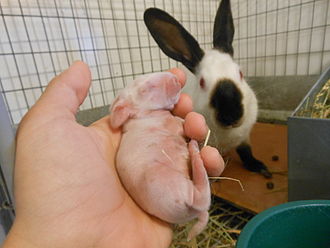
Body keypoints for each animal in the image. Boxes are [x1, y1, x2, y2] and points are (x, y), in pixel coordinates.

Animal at [109, 72, 210, 240]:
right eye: (145, 89)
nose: (175, 77)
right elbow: (180, 123)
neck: (143, 115)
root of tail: (187, 207)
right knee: (203, 197)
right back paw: (194, 149)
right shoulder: (171, 123)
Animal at [144, 0, 270, 177]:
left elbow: (246, 152)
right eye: (202, 82)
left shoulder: (244, 138)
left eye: (240, 73)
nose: (231, 115)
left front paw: (260, 167)